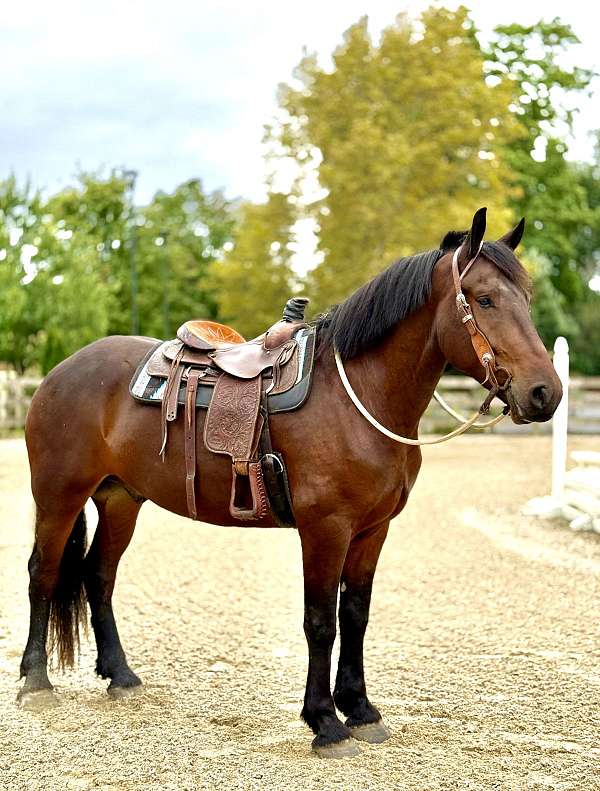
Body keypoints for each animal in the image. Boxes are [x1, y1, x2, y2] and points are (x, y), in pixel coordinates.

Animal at [18, 208, 562, 758]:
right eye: (485, 298)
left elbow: (356, 615)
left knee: (98, 575)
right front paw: (325, 721)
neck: (356, 399)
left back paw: (121, 675)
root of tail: (62, 370)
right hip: (60, 495)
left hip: (121, 499)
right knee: (44, 572)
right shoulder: (326, 528)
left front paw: (360, 710)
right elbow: (320, 622)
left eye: (527, 298)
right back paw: (36, 682)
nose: (546, 393)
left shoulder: (373, 530)